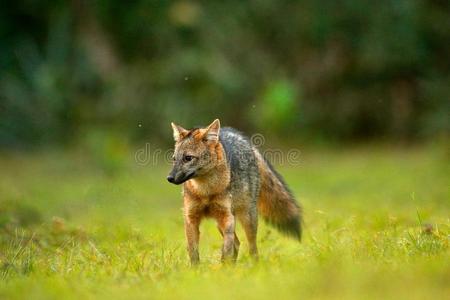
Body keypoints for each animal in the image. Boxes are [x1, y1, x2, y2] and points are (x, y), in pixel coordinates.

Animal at [167, 118, 300, 264]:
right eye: (174, 159)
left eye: (188, 158)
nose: (169, 178)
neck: (206, 192)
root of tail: (244, 140)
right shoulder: (191, 218)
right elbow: (193, 251)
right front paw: (196, 269)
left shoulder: (227, 216)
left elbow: (227, 245)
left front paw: (223, 260)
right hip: (219, 223)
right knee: (237, 243)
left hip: (247, 218)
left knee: (251, 248)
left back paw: (252, 266)